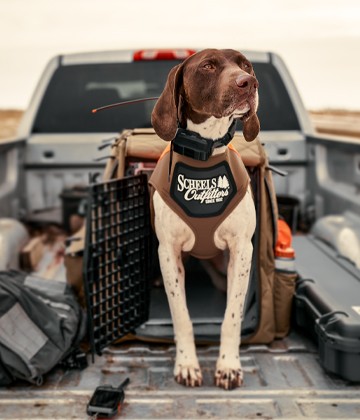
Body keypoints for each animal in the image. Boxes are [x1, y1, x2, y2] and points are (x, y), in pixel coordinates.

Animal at [148, 47, 258, 388]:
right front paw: (186, 364)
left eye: (245, 65)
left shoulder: (241, 250)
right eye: (208, 66)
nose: (248, 83)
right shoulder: (168, 253)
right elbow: (182, 317)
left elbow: (231, 317)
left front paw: (228, 366)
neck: (206, 154)